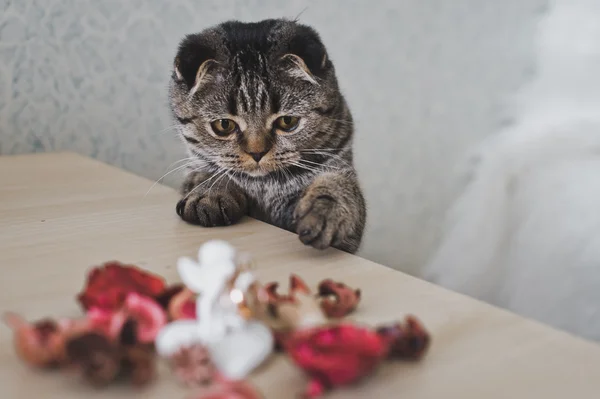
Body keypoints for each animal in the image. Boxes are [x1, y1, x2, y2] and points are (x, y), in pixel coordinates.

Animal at [169, 18, 366, 253]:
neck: (264, 186)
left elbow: (339, 186)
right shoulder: (195, 168)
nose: (257, 153)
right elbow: (208, 173)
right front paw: (211, 191)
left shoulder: (339, 166)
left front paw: (325, 208)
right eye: (224, 125)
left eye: (287, 121)